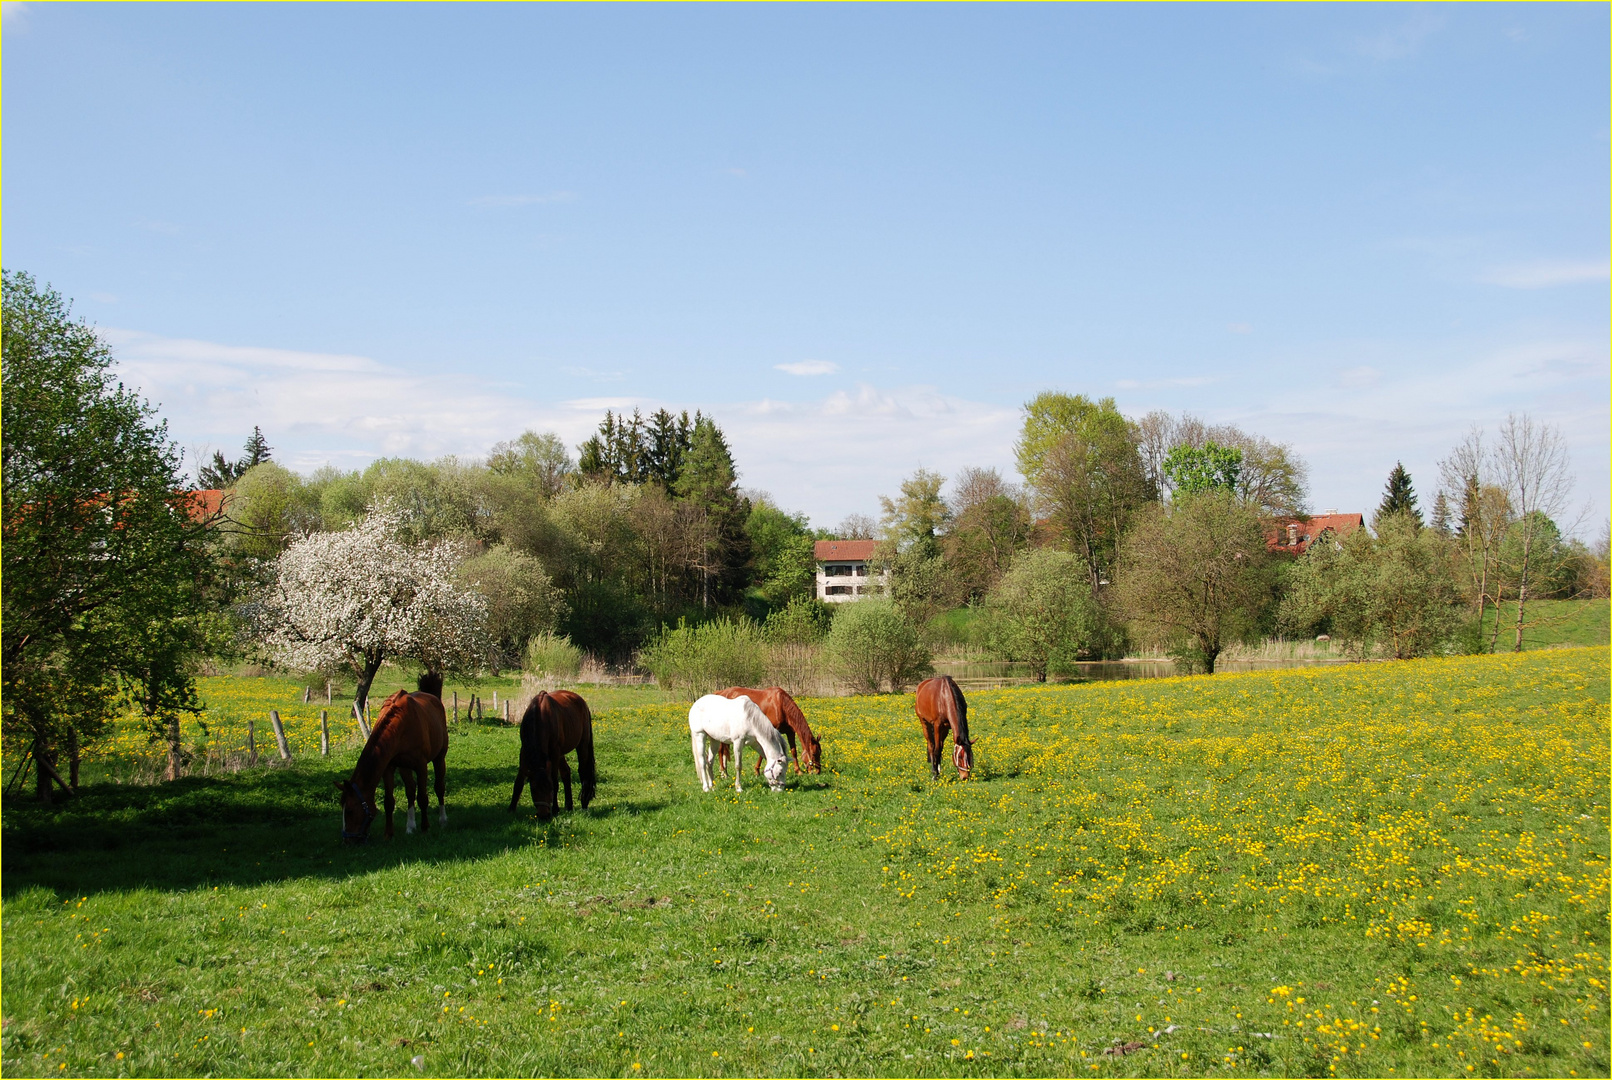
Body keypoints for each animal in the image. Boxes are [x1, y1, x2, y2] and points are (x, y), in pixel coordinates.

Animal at [335, 677, 448, 844]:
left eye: (349, 810)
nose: (348, 840)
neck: (401, 724)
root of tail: (433, 697)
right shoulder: (389, 767)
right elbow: (389, 802)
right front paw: (388, 834)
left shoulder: (421, 766)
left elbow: (423, 798)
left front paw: (425, 829)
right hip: (404, 767)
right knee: (410, 791)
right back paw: (410, 827)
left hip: (439, 758)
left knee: (439, 787)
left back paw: (442, 820)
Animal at [506, 693, 596, 822]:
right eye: (533, 789)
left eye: (550, 789)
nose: (544, 815)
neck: (540, 715)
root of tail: (580, 700)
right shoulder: (524, 751)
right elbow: (519, 782)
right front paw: (511, 809)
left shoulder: (554, 752)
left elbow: (555, 781)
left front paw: (556, 809)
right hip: (561, 752)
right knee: (566, 772)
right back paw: (569, 806)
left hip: (582, 745)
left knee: (583, 771)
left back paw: (584, 804)